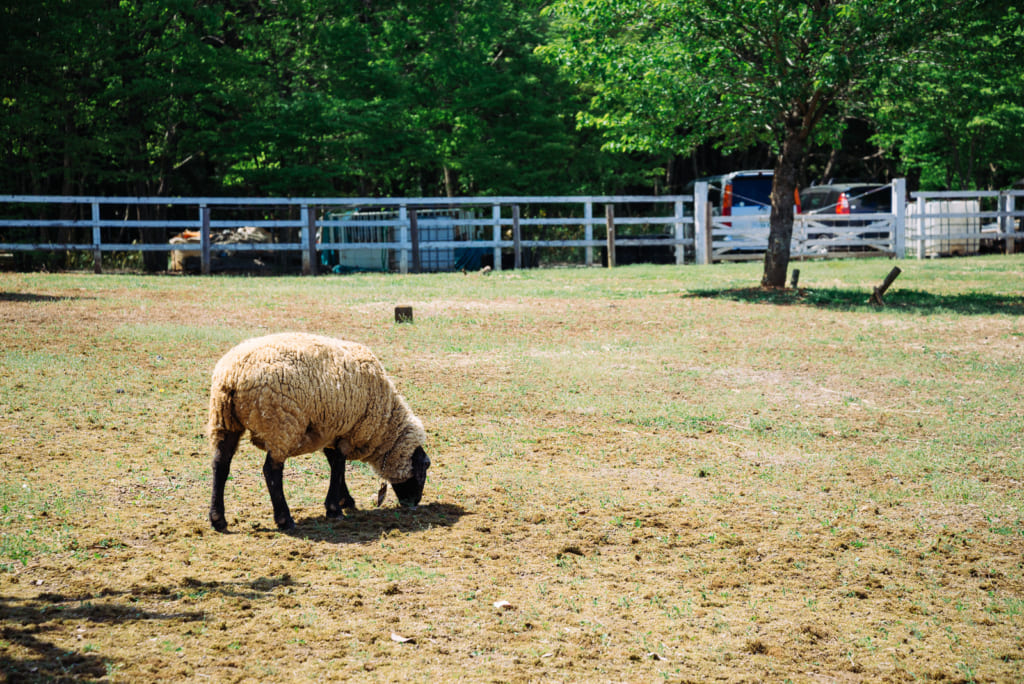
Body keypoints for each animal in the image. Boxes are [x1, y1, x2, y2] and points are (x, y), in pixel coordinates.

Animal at [206, 332, 430, 532]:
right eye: (425, 467)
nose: (414, 502)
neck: (384, 425)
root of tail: (233, 375)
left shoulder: (331, 432)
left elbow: (335, 464)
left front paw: (345, 500)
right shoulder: (347, 431)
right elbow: (339, 466)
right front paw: (334, 509)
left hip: (224, 422)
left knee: (220, 465)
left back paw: (218, 519)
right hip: (281, 425)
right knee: (271, 471)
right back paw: (285, 519)